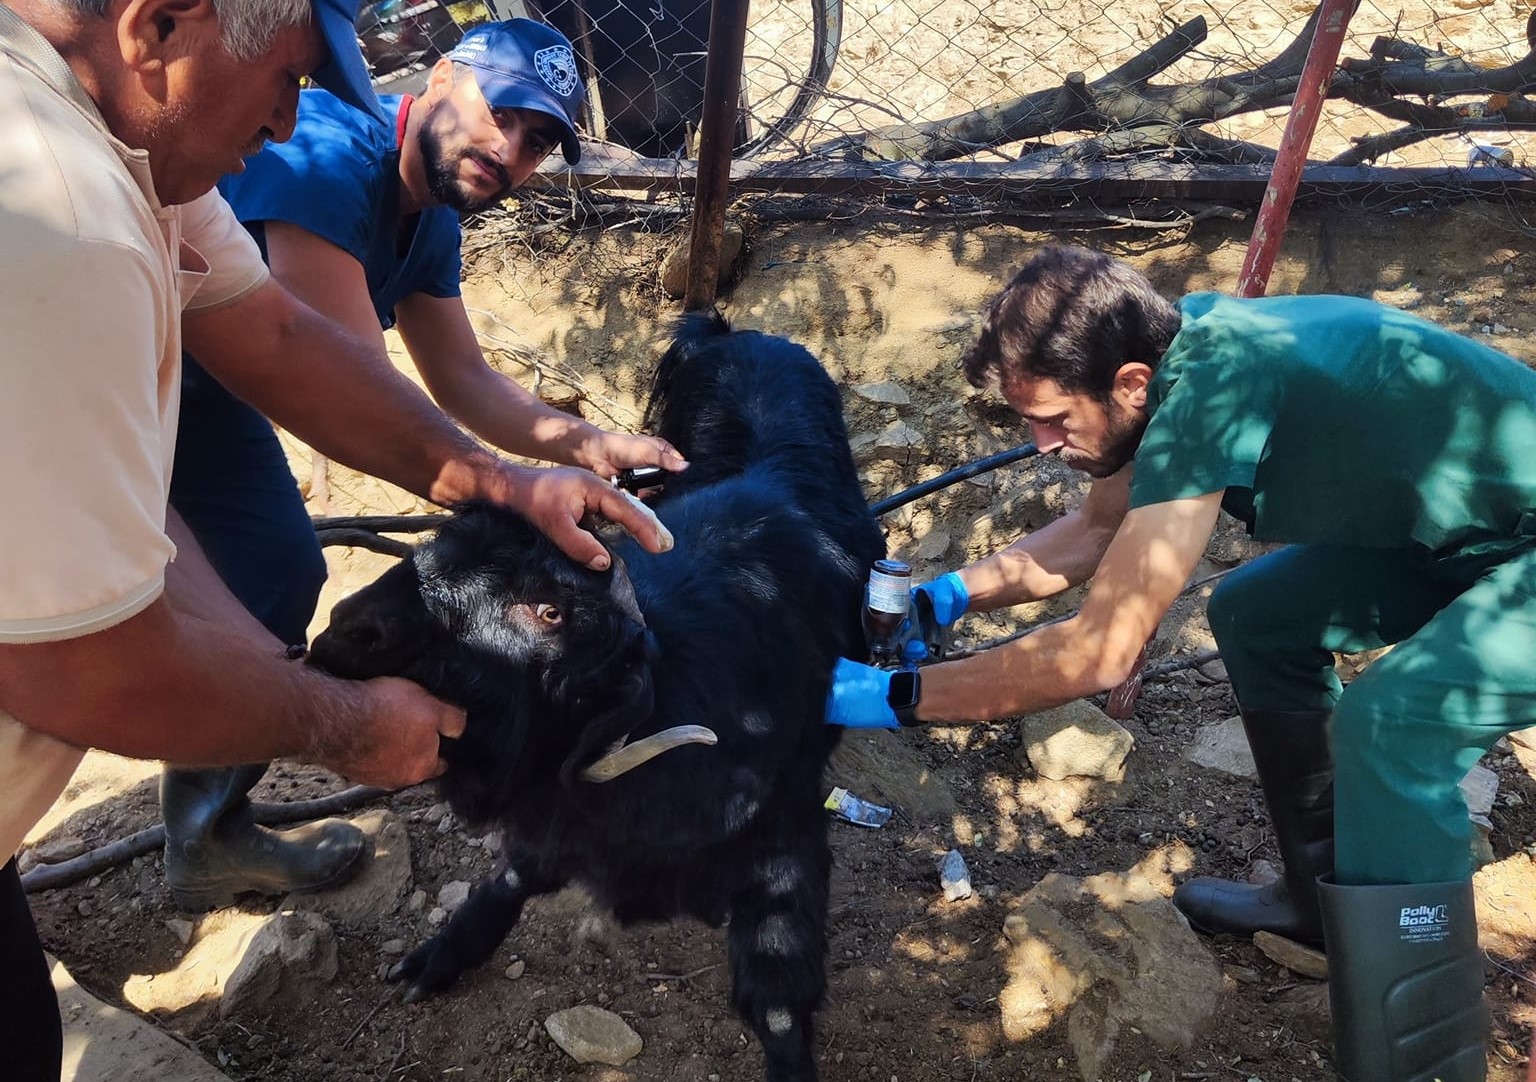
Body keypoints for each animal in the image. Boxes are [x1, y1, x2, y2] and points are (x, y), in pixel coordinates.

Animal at [308, 308, 890, 1075]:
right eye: (430, 552)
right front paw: (437, 957)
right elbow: (513, 875)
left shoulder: (785, 842)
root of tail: (739, 333)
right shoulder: (555, 819)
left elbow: (779, 1002)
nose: (346, 628)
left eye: (550, 612)